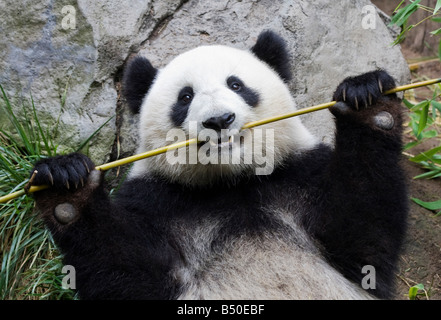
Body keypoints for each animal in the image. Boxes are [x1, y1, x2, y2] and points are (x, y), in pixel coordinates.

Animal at [31, 30, 408, 300]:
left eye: (236, 84)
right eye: (185, 97)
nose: (219, 120)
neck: (231, 181)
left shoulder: (299, 173)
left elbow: (364, 241)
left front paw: (368, 100)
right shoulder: (158, 200)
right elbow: (124, 276)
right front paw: (66, 186)